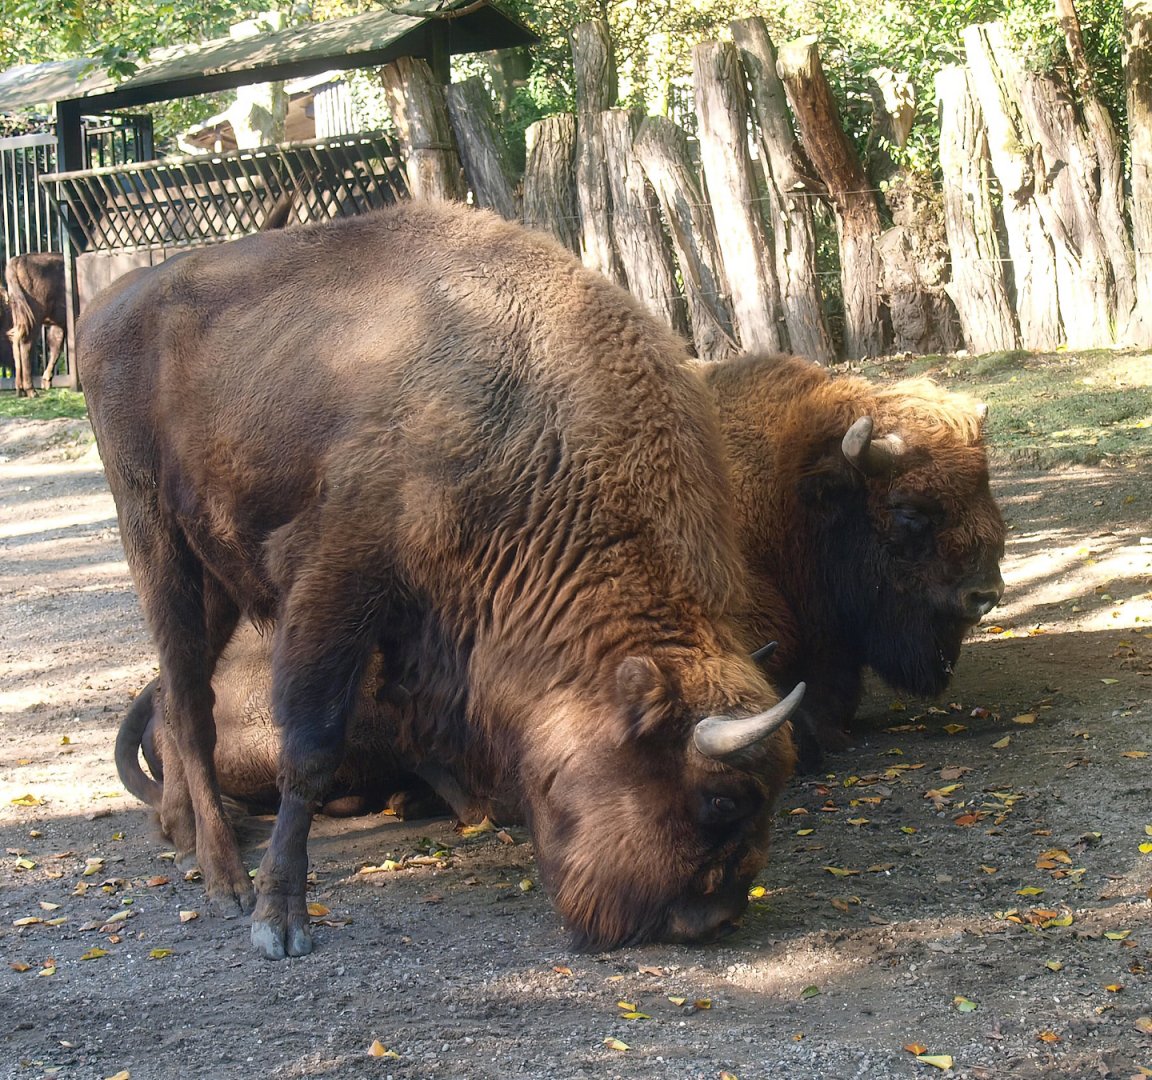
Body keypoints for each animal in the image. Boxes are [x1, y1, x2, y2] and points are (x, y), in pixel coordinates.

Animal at [5, 252, 67, 396]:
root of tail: (18, 260)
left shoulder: (60, 324)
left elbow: (56, 347)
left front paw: (46, 381)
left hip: (20, 315)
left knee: (16, 341)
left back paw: (20, 389)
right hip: (34, 319)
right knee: (26, 344)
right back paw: (31, 390)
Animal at [81, 201, 801, 958]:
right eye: (721, 798)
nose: (710, 918)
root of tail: (108, 303)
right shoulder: (337, 580)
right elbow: (310, 747)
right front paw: (280, 921)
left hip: (216, 579)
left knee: (174, 696)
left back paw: (183, 832)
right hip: (155, 540)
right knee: (190, 703)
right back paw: (225, 875)